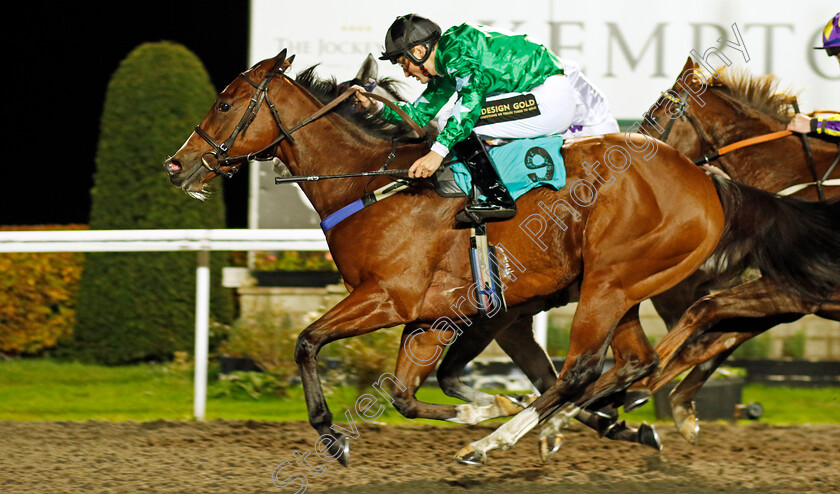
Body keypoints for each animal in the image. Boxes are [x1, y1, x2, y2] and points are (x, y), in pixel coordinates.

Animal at [164, 50, 720, 464]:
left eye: (225, 103)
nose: (176, 165)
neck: (372, 183)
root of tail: (702, 183)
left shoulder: (389, 297)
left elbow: (307, 342)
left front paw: (331, 435)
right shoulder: (432, 316)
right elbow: (403, 394)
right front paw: (492, 404)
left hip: (607, 284)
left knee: (578, 371)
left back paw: (494, 442)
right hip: (621, 289)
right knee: (632, 362)